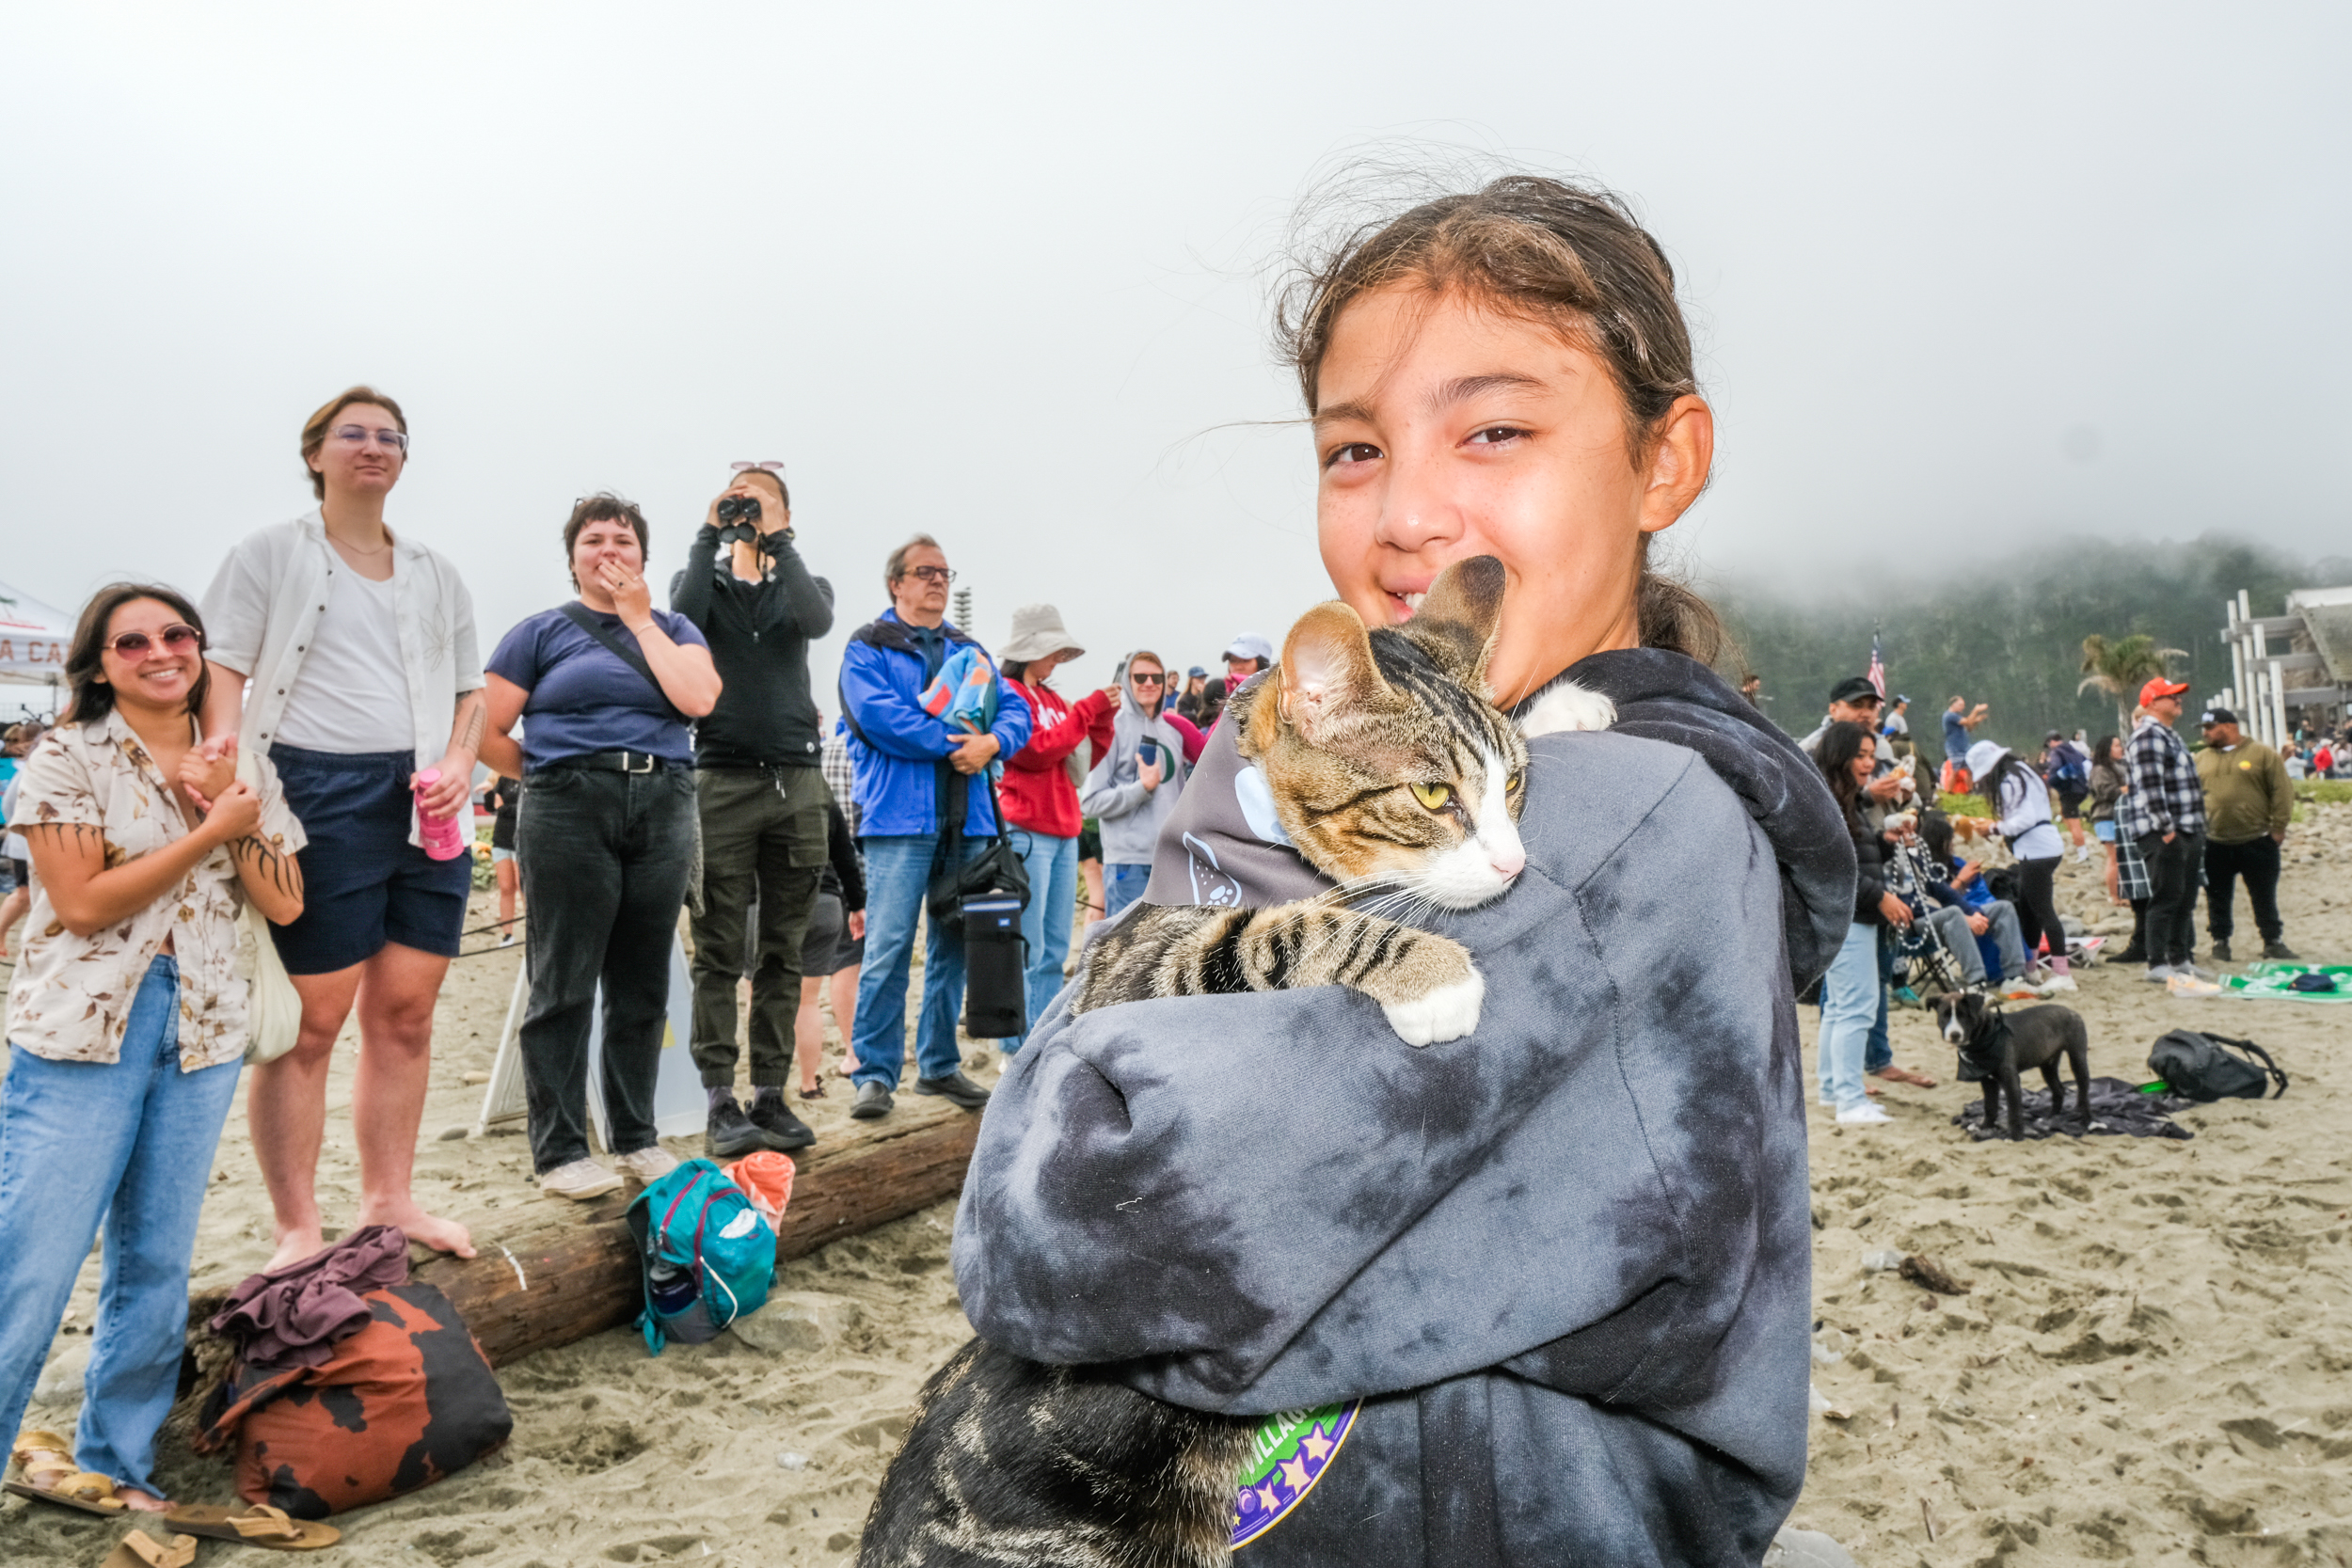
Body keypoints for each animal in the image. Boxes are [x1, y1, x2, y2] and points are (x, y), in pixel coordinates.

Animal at [866, 557, 1618, 1568]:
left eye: (1515, 788)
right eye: (1431, 798)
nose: (1511, 866)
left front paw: (1561, 707)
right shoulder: (1139, 962)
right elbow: (1275, 930)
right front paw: (1428, 972)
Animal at [1929, 991, 2098, 1142]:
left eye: (1964, 1015)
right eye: (1944, 1015)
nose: (1954, 1034)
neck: (1984, 1034)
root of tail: (2072, 1011)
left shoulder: (2010, 1079)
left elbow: (2014, 1112)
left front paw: (2017, 1137)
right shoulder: (1987, 1080)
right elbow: (1990, 1107)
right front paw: (1985, 1127)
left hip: (2077, 1057)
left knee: (2083, 1092)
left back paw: (2086, 1121)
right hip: (2047, 1065)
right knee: (2059, 1090)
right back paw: (2051, 1117)